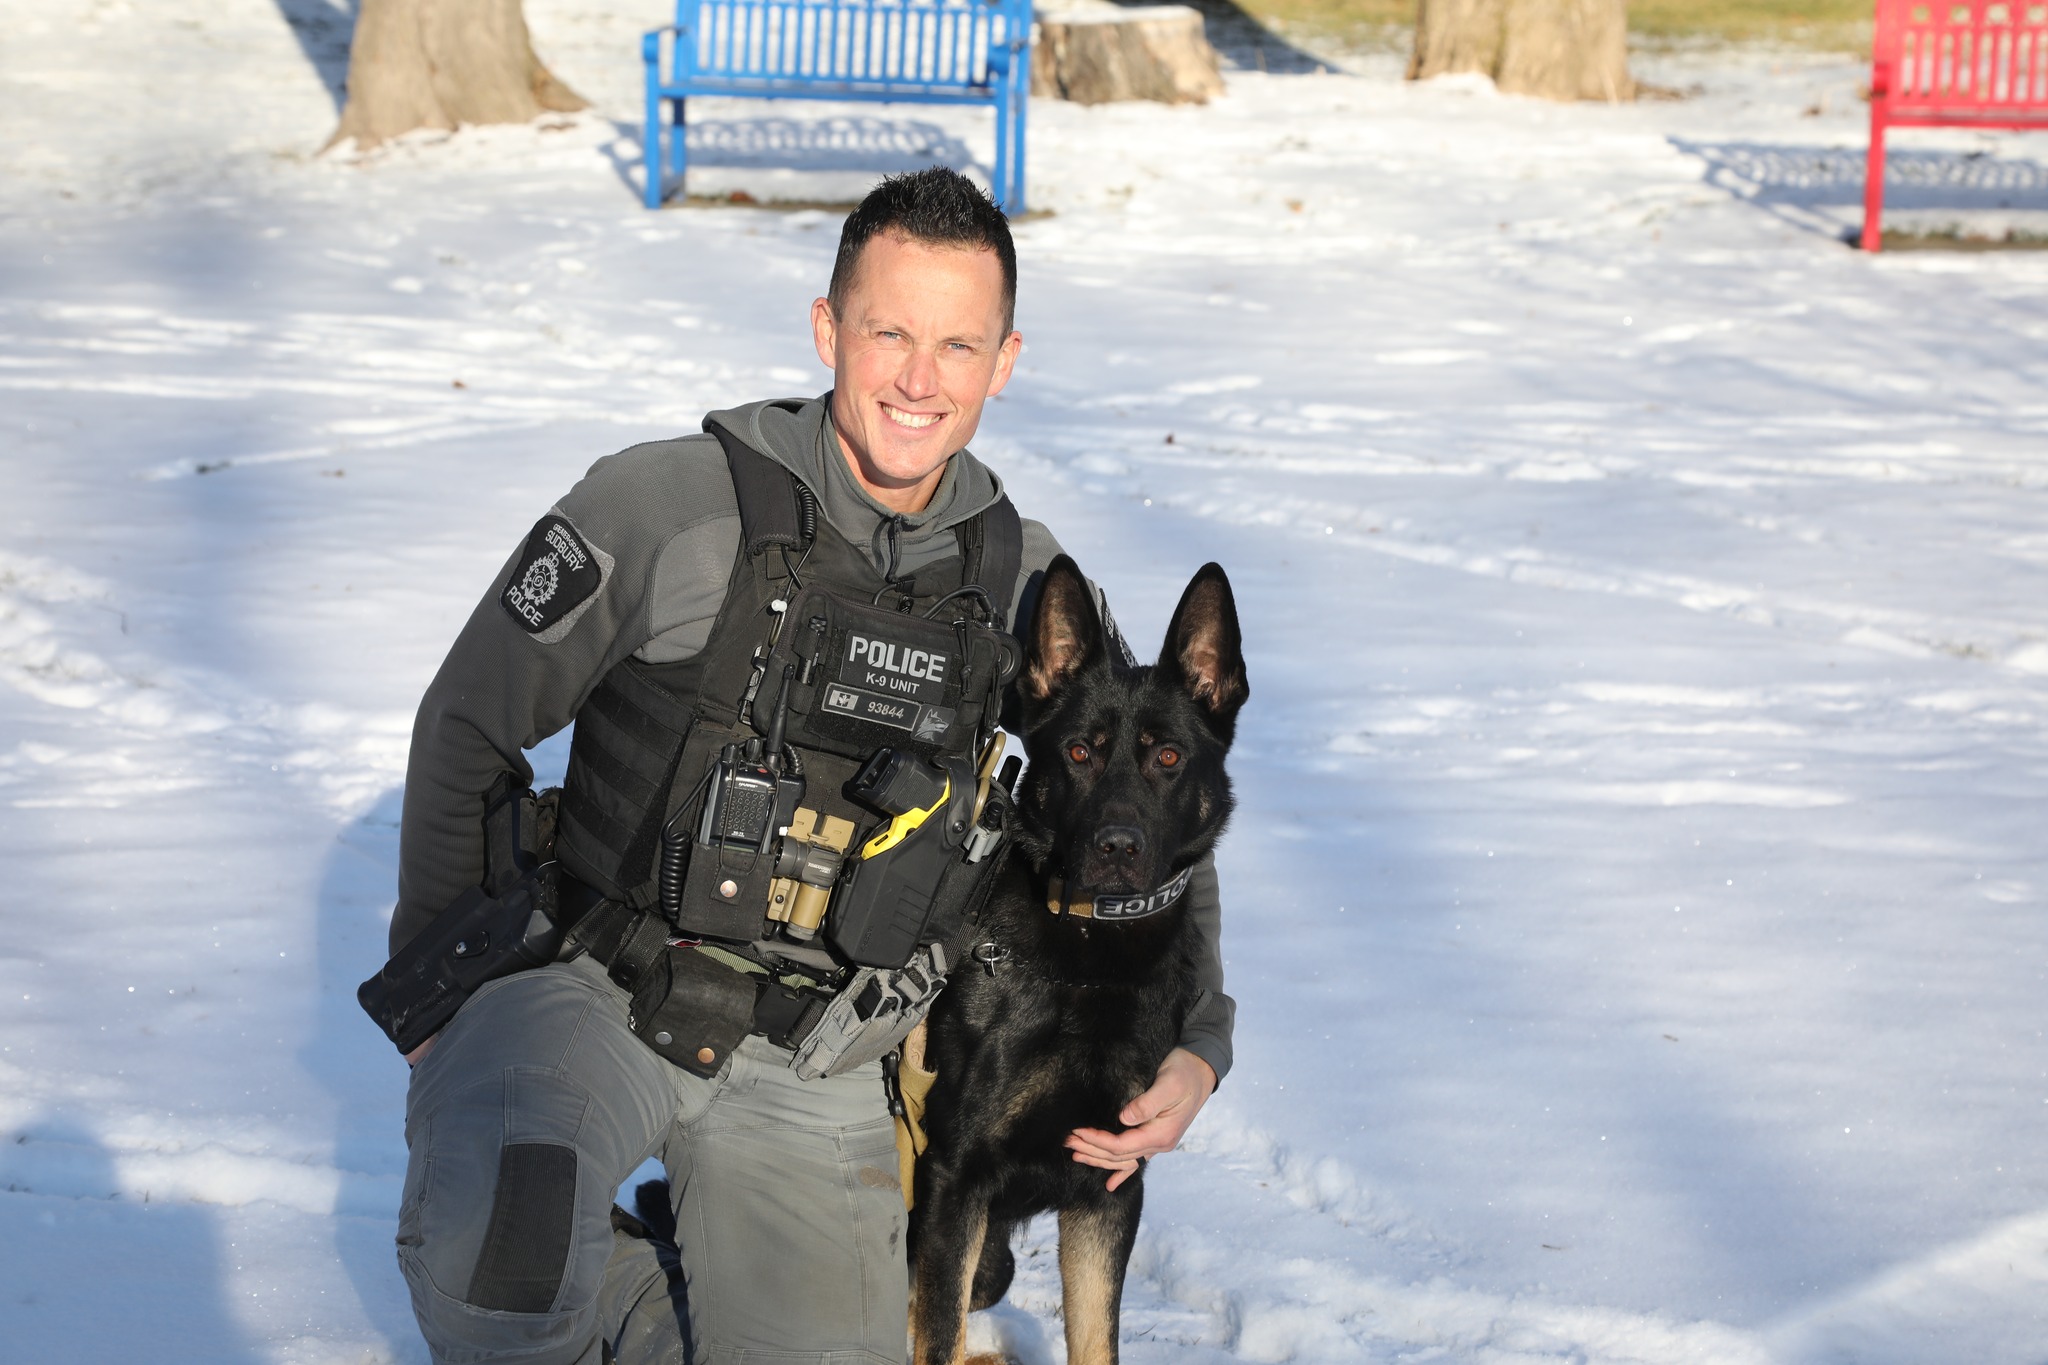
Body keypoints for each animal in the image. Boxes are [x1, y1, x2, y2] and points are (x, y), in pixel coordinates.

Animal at [913, 556, 1245, 1365]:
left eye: (1168, 757)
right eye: (1079, 752)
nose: (1116, 848)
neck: (1093, 953)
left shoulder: (1110, 1182)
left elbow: (1098, 1339)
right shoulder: (954, 1176)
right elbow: (933, 1335)